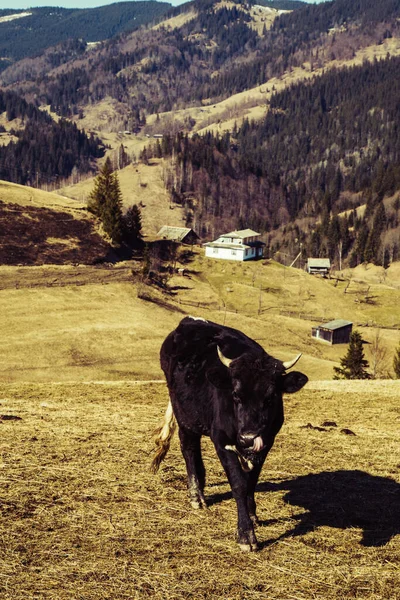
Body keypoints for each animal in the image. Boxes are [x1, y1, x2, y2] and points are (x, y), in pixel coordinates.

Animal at [152, 316, 308, 552]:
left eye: (271, 396)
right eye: (235, 394)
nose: (248, 438)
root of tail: (188, 321)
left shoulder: (267, 443)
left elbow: (251, 481)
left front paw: (252, 515)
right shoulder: (222, 442)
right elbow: (238, 483)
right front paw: (246, 535)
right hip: (184, 416)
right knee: (189, 449)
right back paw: (196, 495)